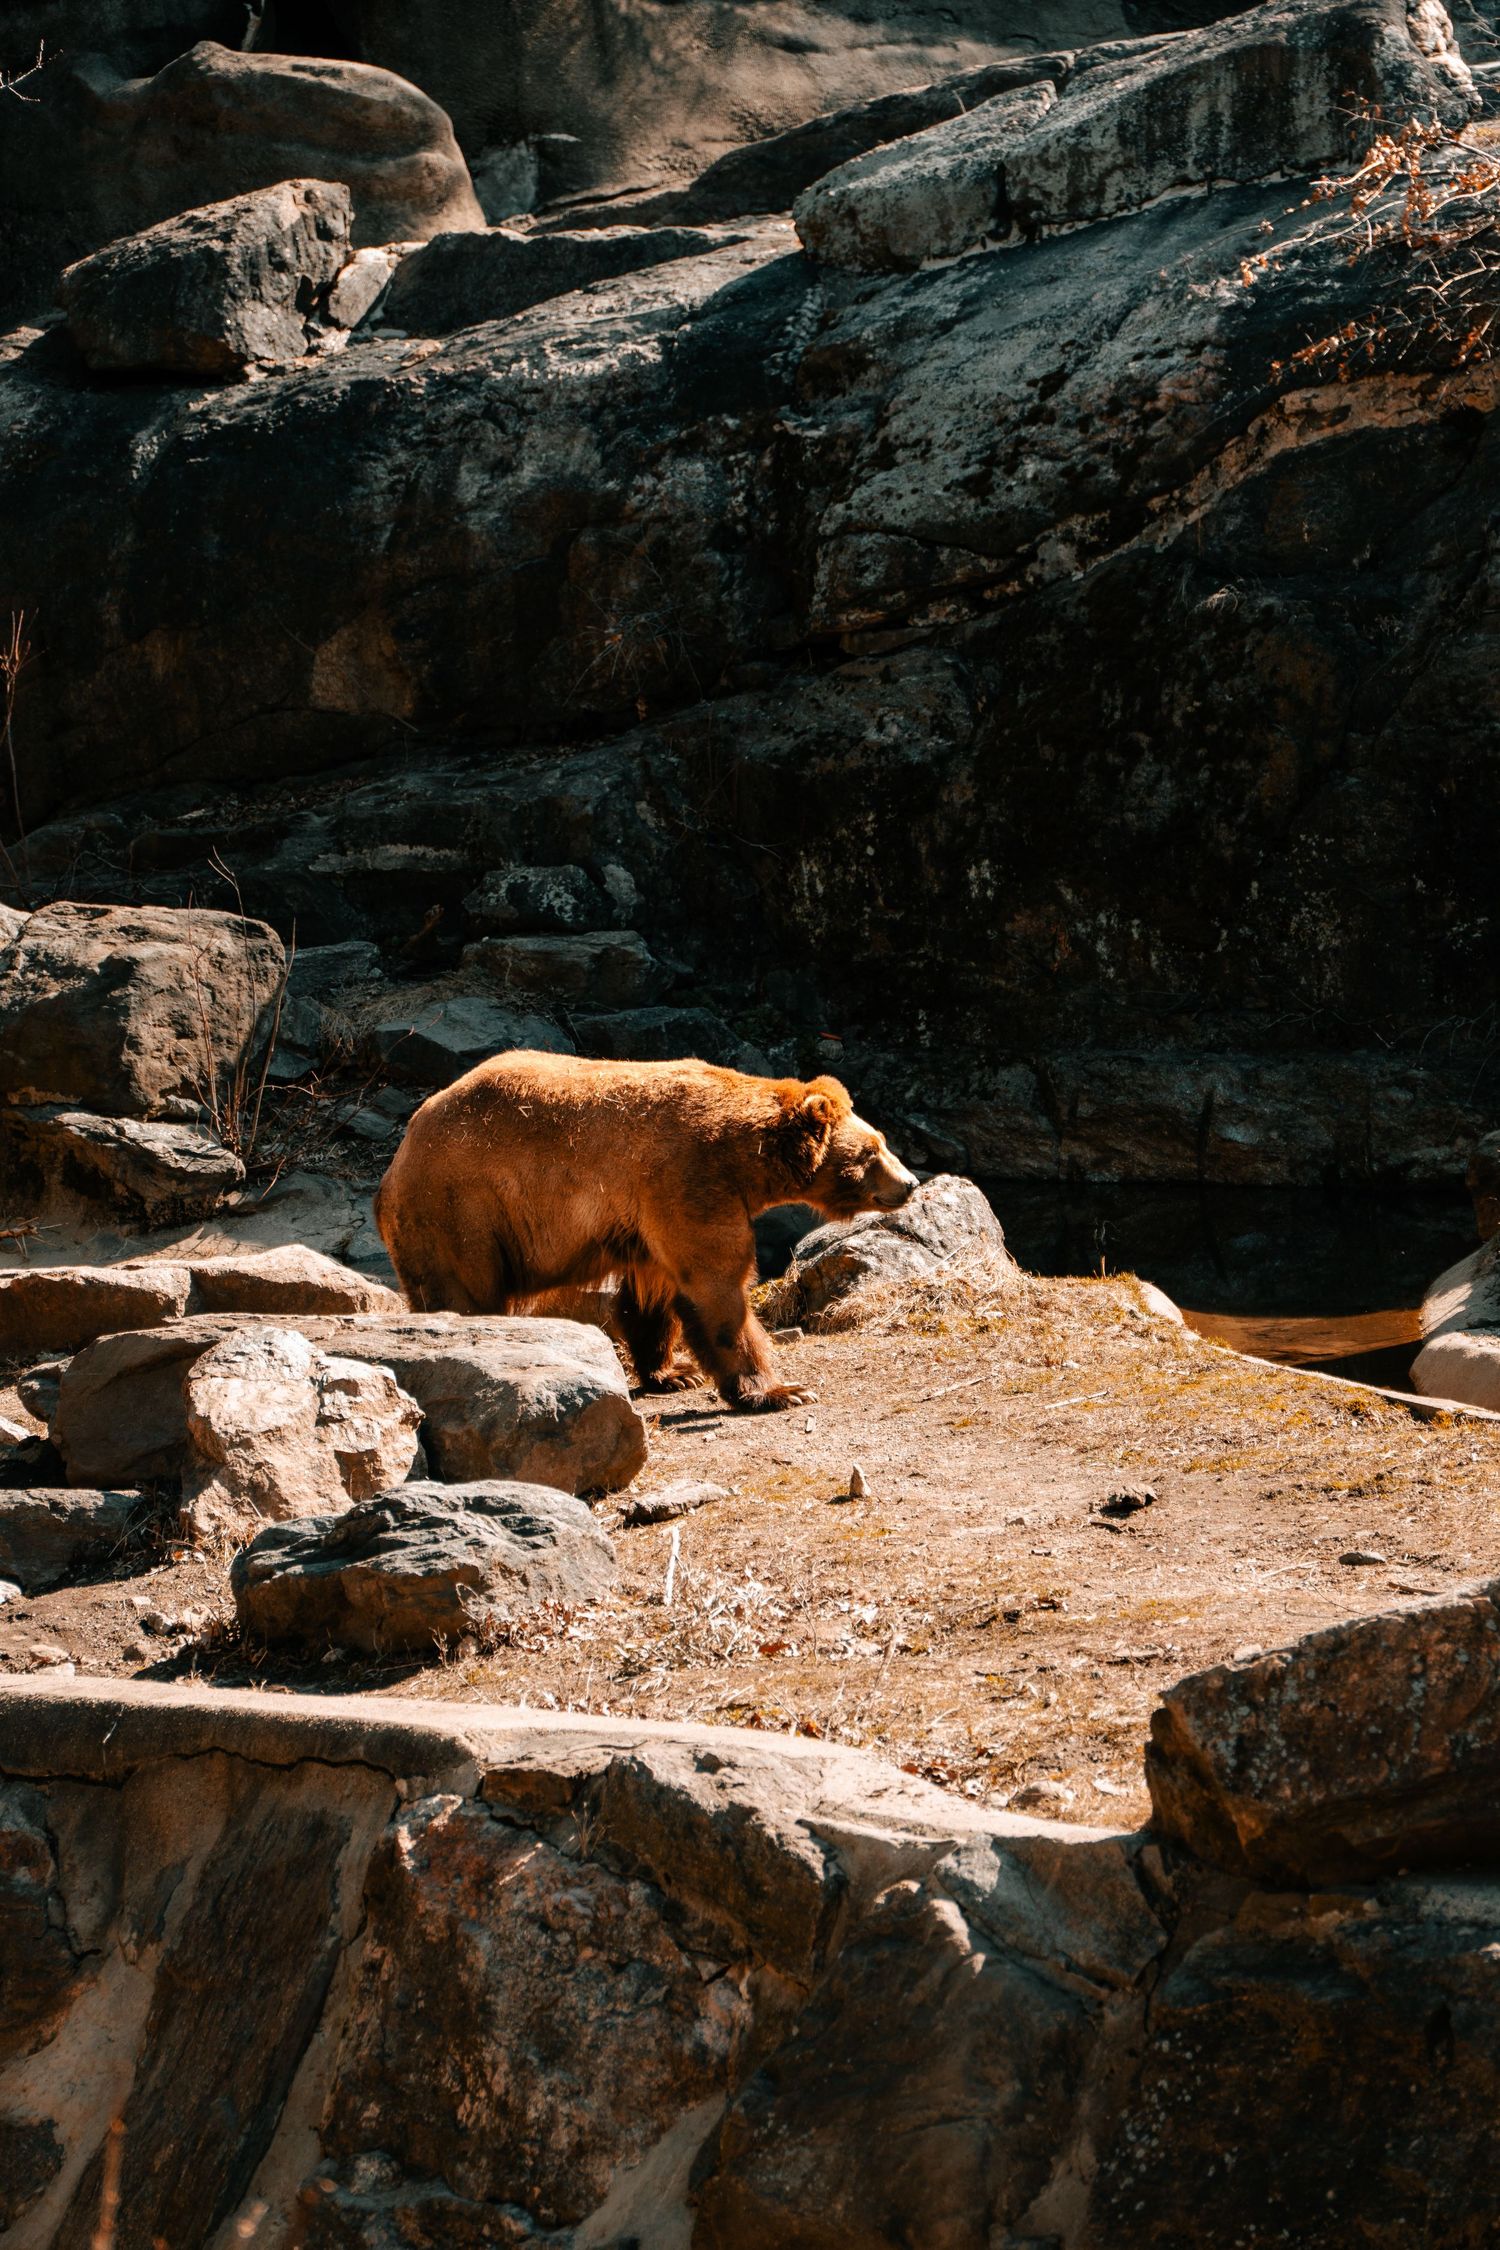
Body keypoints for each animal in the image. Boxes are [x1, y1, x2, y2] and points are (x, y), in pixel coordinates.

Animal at [373, 1050, 919, 1411]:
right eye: (870, 1152)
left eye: (881, 1140)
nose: (910, 1183)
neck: (746, 1156)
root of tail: (394, 1164)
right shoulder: (689, 1178)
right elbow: (717, 1289)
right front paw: (781, 1389)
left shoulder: (647, 1213)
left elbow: (653, 1294)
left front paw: (672, 1373)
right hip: (462, 1210)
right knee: (464, 1292)